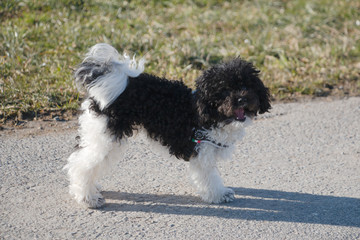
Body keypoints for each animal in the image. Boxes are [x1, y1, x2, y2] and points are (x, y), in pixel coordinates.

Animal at [64, 43, 270, 208]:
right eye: (224, 90)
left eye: (246, 85)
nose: (242, 99)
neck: (206, 114)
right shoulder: (202, 154)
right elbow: (210, 179)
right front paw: (220, 195)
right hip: (105, 136)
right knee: (79, 165)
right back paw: (88, 198)